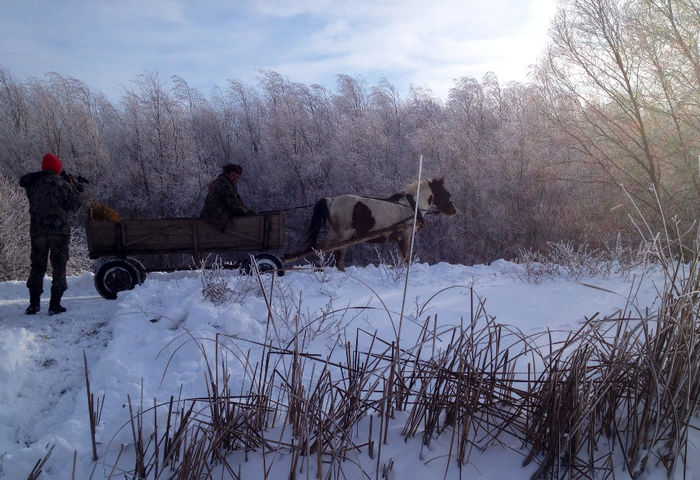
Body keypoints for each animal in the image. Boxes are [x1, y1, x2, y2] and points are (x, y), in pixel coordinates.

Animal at [306, 179, 460, 272]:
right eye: (447, 193)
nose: (454, 211)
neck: (412, 205)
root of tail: (332, 200)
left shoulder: (399, 238)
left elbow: (402, 257)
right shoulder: (405, 236)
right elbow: (406, 257)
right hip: (342, 234)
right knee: (326, 248)